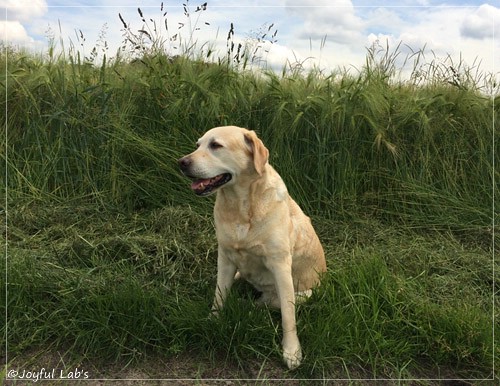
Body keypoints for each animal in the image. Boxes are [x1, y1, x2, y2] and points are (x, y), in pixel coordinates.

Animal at [178, 125, 326, 370]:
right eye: (197, 145)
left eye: (215, 145)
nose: (181, 162)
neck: (241, 205)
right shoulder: (225, 257)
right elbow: (219, 295)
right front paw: (213, 320)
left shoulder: (280, 266)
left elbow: (288, 315)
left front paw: (292, 351)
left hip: (303, 292)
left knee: (267, 304)